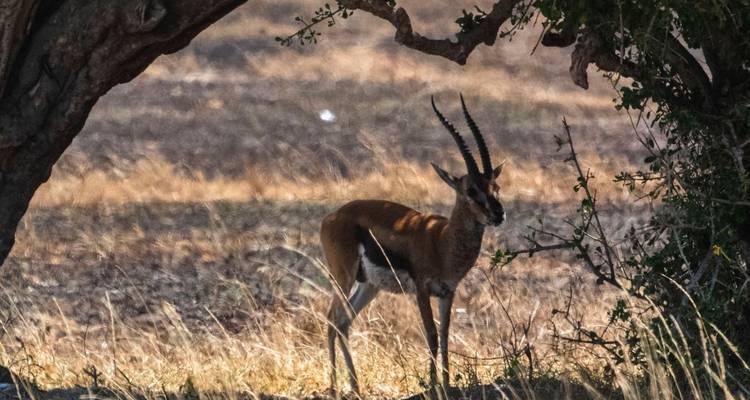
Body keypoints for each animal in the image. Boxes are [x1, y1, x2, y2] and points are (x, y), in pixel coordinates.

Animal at [320, 95, 505, 397]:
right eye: (471, 190)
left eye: (495, 188)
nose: (499, 214)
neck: (442, 241)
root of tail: (332, 216)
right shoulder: (421, 289)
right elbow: (431, 334)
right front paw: (432, 386)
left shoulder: (447, 292)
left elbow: (445, 335)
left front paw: (447, 384)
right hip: (343, 277)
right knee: (331, 318)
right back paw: (336, 388)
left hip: (369, 285)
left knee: (343, 321)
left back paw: (356, 386)